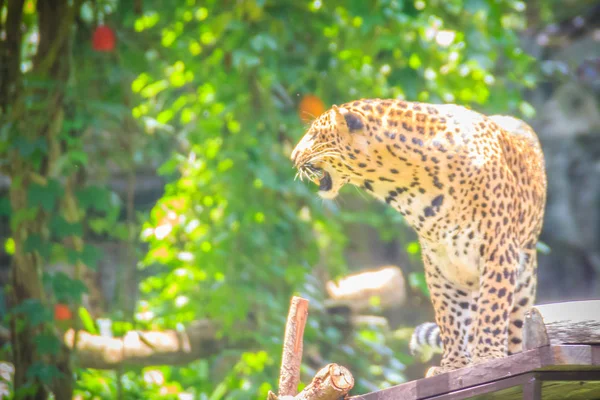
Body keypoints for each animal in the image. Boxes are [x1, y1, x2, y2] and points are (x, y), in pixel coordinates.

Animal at [290, 98, 548, 376]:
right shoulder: (440, 262)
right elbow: (449, 315)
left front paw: (488, 356)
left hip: (524, 279)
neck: (409, 186)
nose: (293, 156)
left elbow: (493, 306)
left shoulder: (498, 250)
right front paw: (453, 365)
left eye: (315, 135)